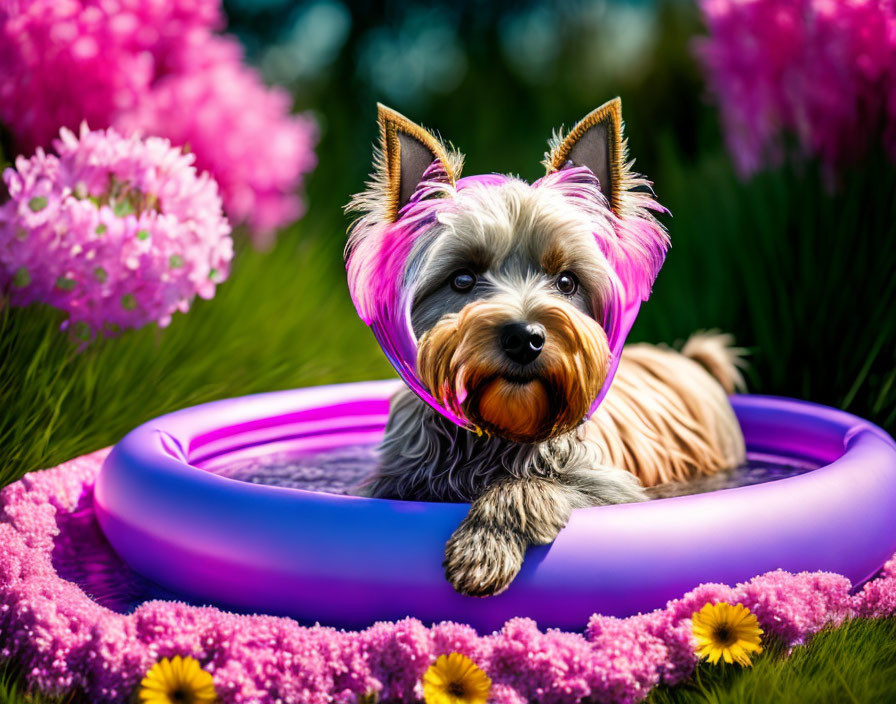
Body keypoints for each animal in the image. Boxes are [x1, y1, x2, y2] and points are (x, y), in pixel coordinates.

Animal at [346, 99, 744, 592]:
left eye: (567, 281)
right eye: (462, 278)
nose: (525, 337)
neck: (496, 430)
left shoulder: (610, 486)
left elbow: (532, 485)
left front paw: (482, 546)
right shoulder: (396, 479)